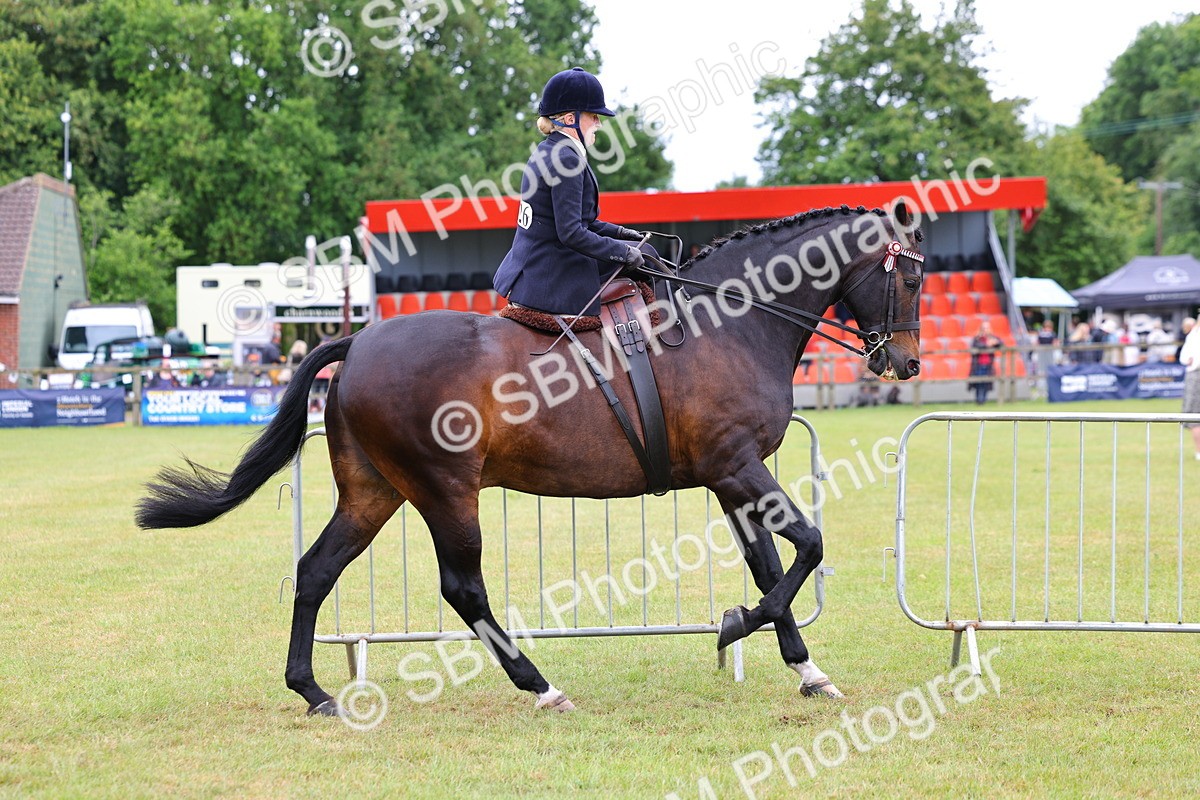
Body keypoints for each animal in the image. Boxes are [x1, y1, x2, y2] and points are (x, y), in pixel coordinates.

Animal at [136, 203, 924, 716]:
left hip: (373, 491)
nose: (909, 363)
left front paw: (807, 670)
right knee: (463, 589)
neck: (727, 323)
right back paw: (540, 686)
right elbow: (808, 547)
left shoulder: (732, 478)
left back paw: (313, 691)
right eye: (914, 280)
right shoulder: (737, 468)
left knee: (316, 570)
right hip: (445, 491)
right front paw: (735, 625)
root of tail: (357, 342)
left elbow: (770, 565)